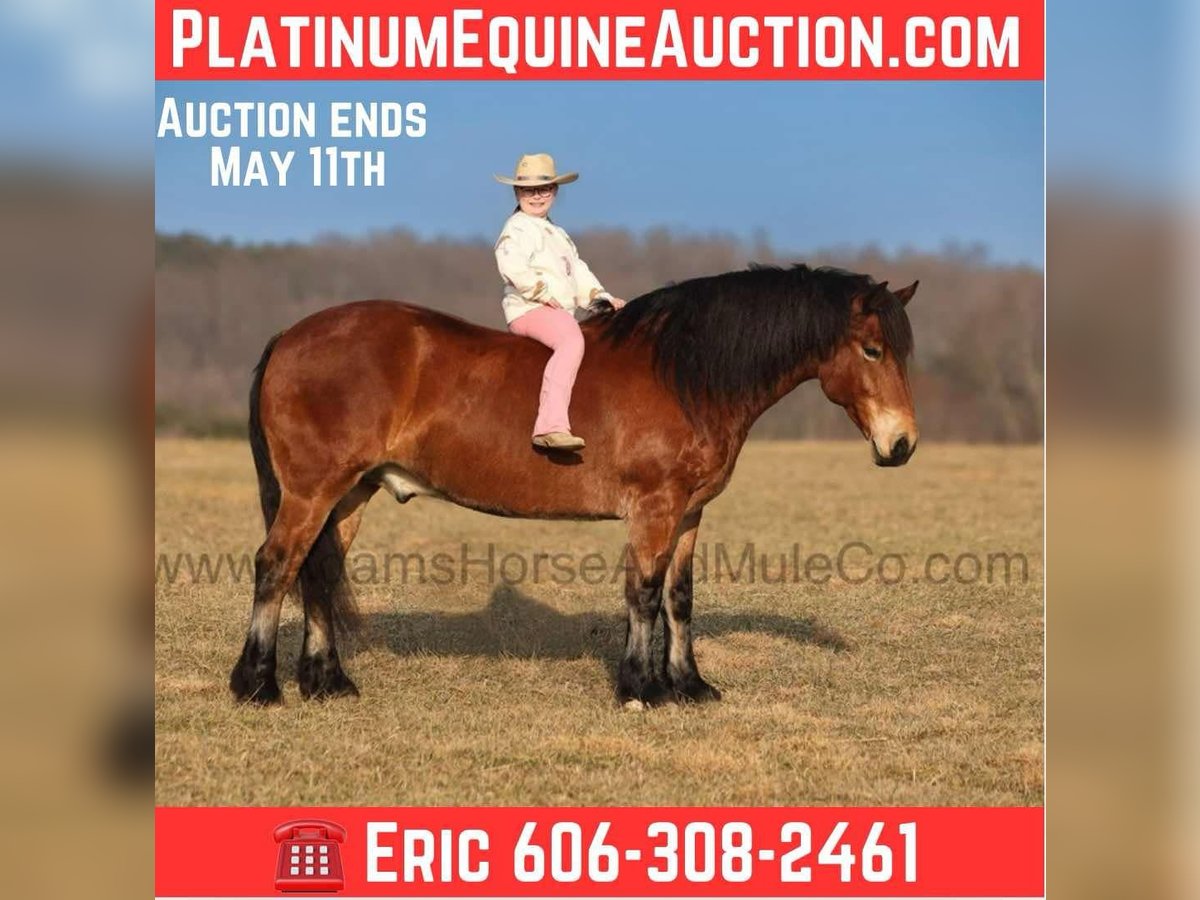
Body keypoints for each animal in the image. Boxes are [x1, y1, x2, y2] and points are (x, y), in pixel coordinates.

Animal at [229, 264, 919, 707]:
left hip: (349, 493)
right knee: (277, 565)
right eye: (872, 350)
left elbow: (679, 598)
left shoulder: (689, 513)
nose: (902, 445)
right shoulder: (654, 510)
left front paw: (690, 686)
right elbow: (643, 594)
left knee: (318, 571)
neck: (684, 373)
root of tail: (292, 336)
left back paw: (327, 683)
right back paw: (257, 685)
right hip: (313, 491)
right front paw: (640, 689)